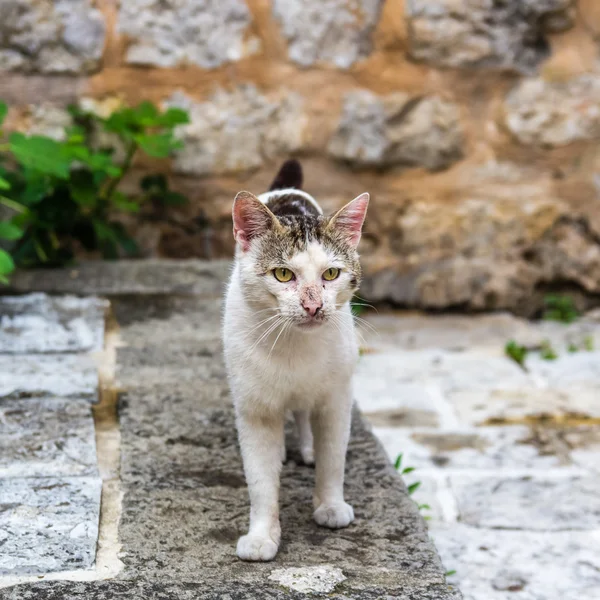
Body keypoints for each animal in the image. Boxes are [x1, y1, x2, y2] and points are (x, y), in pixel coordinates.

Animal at [223, 159, 368, 564]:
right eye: (283, 274)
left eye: (331, 274)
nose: (313, 305)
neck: (293, 345)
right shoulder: (254, 409)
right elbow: (260, 481)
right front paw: (261, 536)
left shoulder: (337, 398)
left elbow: (333, 458)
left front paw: (330, 506)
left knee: (305, 412)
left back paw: (307, 447)